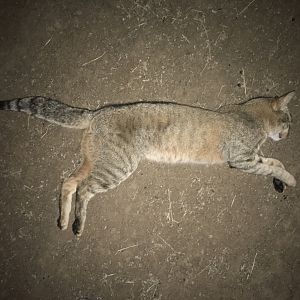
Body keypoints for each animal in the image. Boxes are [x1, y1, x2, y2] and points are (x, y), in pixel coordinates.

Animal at [0, 92, 296, 237]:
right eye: (289, 121)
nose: (288, 135)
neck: (250, 117)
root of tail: (96, 113)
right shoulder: (241, 159)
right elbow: (272, 165)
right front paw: (290, 179)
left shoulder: (251, 157)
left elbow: (274, 161)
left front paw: (281, 181)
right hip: (116, 168)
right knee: (84, 188)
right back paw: (76, 224)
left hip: (94, 161)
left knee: (68, 181)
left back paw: (64, 220)